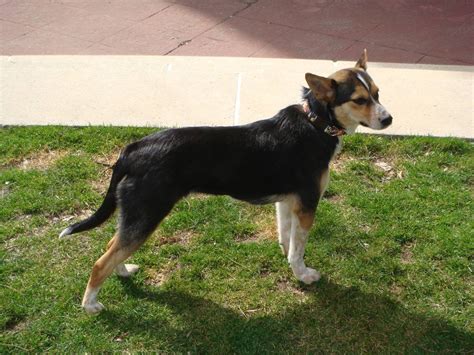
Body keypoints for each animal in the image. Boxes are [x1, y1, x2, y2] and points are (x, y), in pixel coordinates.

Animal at [60, 50, 392, 314]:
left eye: (378, 93)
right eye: (359, 100)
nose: (388, 119)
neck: (316, 123)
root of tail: (132, 150)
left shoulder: (288, 202)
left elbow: (287, 240)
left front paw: (290, 264)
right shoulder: (308, 204)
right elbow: (298, 248)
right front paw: (304, 275)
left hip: (134, 217)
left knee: (111, 246)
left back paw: (124, 271)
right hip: (146, 215)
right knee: (100, 262)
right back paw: (90, 306)